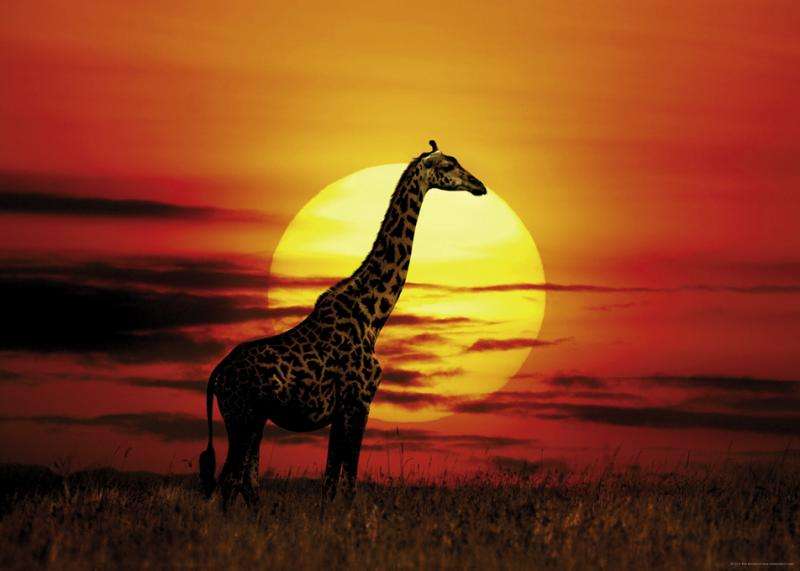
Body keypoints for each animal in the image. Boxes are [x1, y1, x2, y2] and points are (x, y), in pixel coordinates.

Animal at [199, 141, 487, 508]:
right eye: (449, 165)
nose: (480, 186)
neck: (373, 315)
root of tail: (216, 377)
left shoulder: (340, 410)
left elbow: (330, 481)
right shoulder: (359, 401)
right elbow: (348, 480)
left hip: (253, 420)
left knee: (245, 483)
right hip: (242, 416)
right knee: (228, 480)